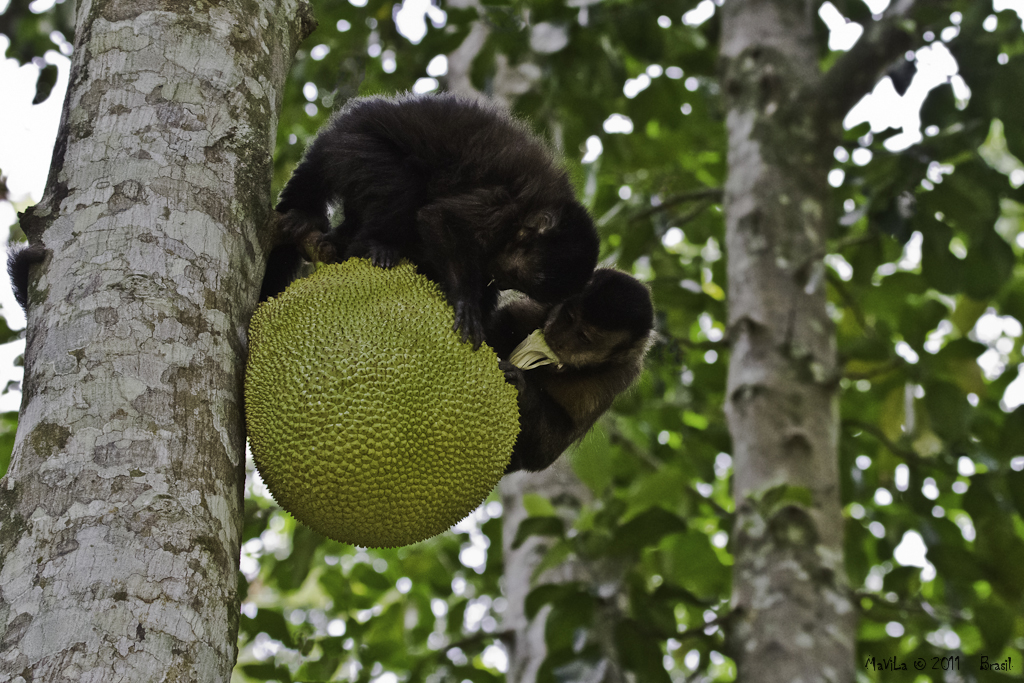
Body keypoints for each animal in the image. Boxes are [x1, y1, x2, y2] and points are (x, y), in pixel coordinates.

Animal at [266, 92, 598, 348]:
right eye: (518, 277)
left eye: (521, 284)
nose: (504, 281)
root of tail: (345, 121)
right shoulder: (503, 205)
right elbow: (440, 218)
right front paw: (465, 301)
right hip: (352, 145)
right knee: (398, 183)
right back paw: (372, 244)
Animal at [487, 268, 655, 475]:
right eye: (568, 317)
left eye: (583, 337)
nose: (556, 338)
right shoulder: (543, 306)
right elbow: (506, 319)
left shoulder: (611, 381)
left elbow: (546, 451)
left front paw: (521, 386)